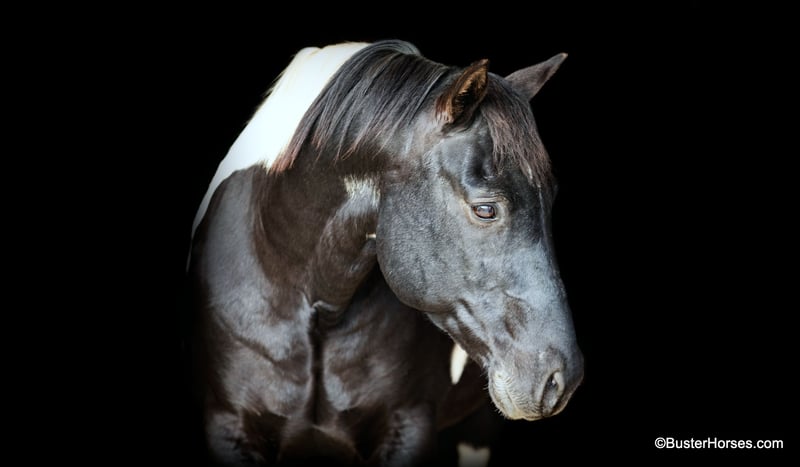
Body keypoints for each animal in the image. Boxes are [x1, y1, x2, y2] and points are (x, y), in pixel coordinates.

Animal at [188, 40, 583, 466]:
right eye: (485, 209)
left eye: (550, 200)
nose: (561, 379)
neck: (312, 305)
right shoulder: (229, 427)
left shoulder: (407, 427)